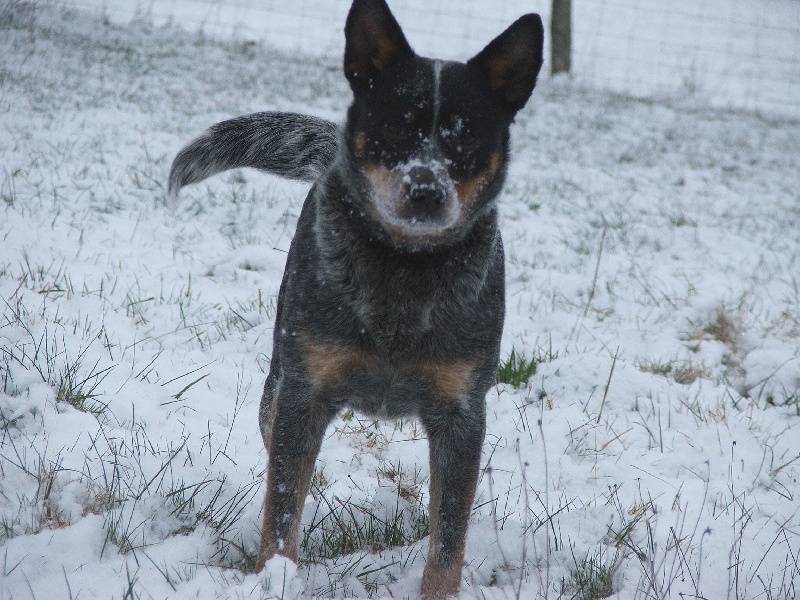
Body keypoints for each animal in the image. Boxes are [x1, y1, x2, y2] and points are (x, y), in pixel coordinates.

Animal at [168, 0, 543, 596]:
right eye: (394, 124)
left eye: (465, 136)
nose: (425, 189)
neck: (403, 274)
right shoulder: (303, 394)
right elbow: (281, 514)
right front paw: (276, 579)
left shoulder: (462, 413)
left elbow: (449, 536)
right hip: (278, 387)